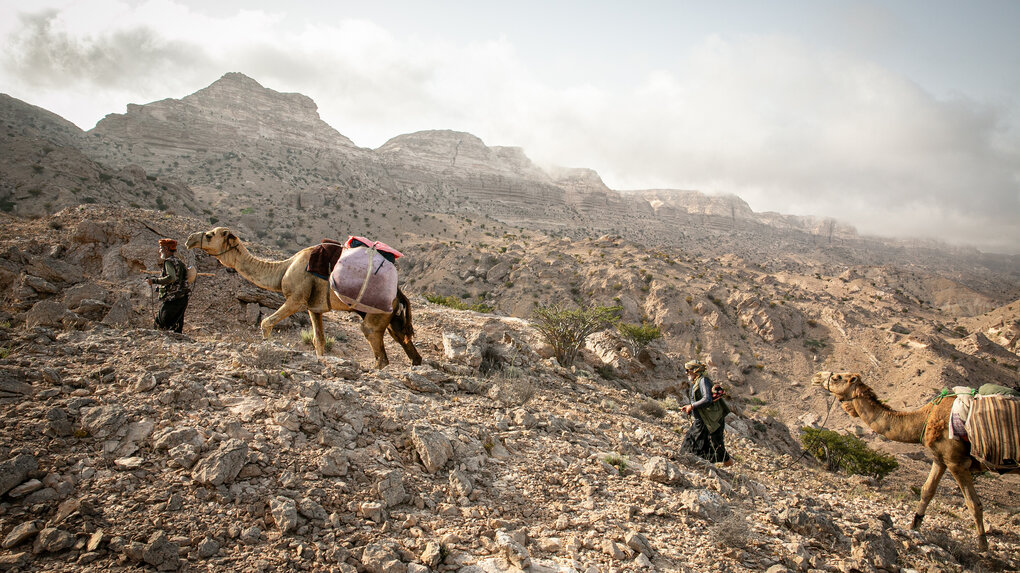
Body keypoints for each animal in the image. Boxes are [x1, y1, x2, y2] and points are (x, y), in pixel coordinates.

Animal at [185, 225, 420, 367]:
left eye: (209, 235)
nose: (189, 239)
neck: (283, 269)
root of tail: (398, 293)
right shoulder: (314, 307)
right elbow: (319, 341)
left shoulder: (296, 299)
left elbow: (266, 322)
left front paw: (266, 346)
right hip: (391, 317)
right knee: (404, 341)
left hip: (376, 315)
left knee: (378, 348)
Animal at [811, 371, 1020, 550]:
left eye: (837, 377)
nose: (817, 376)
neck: (924, 419)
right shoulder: (940, 458)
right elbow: (927, 491)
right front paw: (913, 527)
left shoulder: (955, 461)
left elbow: (973, 504)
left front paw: (983, 547)